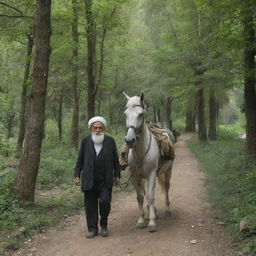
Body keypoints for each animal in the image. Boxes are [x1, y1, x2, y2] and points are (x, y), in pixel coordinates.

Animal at [123, 91, 173, 232]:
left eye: (140, 114)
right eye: (125, 114)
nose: (130, 140)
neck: (140, 152)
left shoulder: (151, 175)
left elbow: (151, 196)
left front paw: (151, 222)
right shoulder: (135, 177)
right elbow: (140, 197)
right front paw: (141, 220)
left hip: (168, 171)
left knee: (166, 187)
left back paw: (167, 209)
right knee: (145, 192)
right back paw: (153, 210)